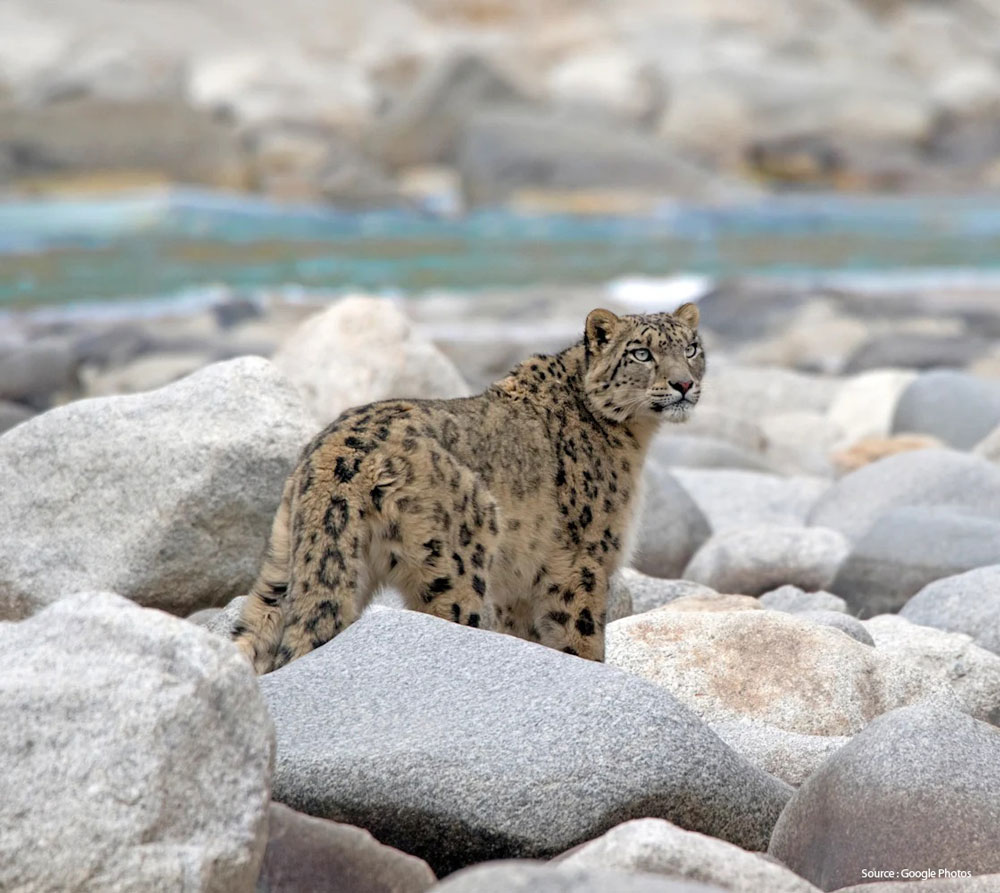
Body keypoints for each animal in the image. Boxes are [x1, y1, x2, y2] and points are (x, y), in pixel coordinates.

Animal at [232, 303, 705, 673]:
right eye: (641, 353)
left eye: (691, 348)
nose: (684, 383)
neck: (634, 440)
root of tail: (334, 454)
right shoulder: (583, 560)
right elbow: (580, 637)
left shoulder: (519, 585)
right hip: (455, 568)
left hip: (283, 564)